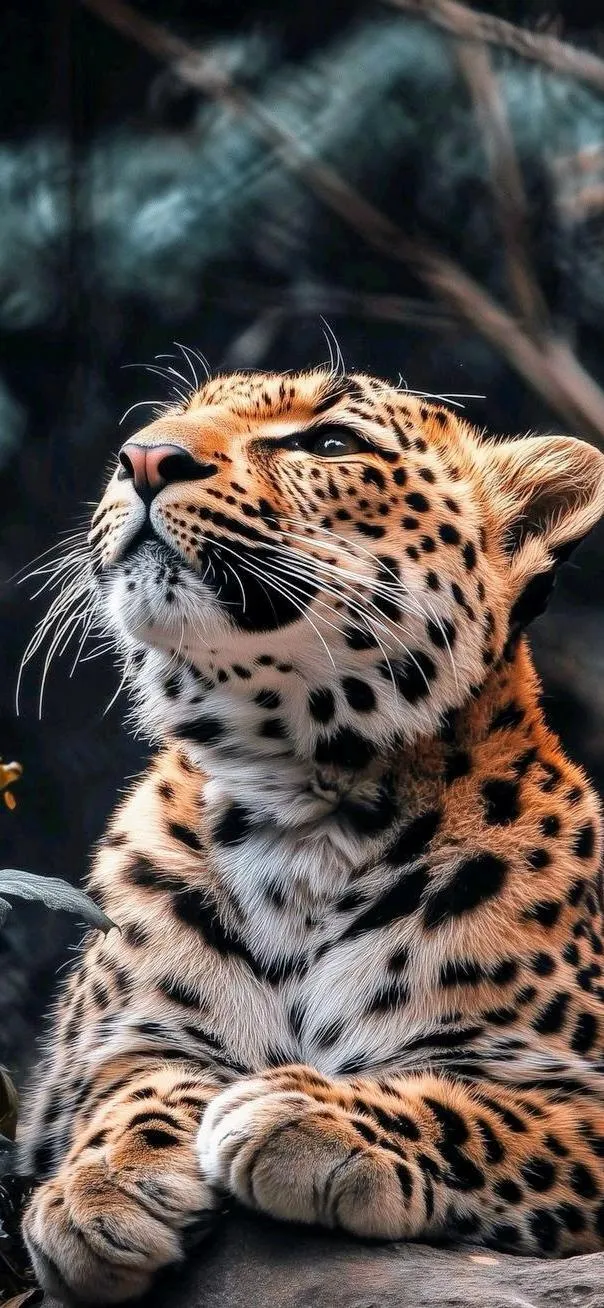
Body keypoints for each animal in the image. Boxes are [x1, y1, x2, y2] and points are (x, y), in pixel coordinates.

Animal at [18, 367, 604, 1304]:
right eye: (167, 419)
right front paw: (99, 1187)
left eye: (329, 443)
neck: (302, 811)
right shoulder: (87, 1061)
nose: (142, 458)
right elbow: (128, 1080)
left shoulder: (574, 1095)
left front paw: (313, 1115)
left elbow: (501, 1114)